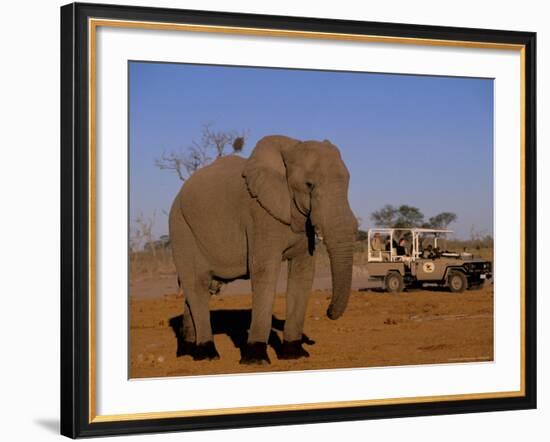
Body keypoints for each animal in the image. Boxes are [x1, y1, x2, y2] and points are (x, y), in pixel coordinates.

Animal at [170, 136, 360, 364]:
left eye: (348, 183)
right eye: (309, 185)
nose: (328, 312)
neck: (291, 148)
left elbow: (303, 274)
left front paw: (295, 354)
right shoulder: (259, 214)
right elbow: (265, 271)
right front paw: (255, 359)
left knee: (201, 287)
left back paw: (189, 353)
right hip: (181, 227)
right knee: (196, 283)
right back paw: (208, 354)